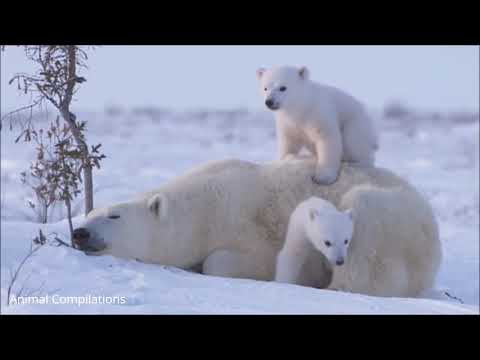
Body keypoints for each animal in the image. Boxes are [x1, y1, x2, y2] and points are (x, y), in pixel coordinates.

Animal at [72, 159, 442, 296]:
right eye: (91, 212)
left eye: (114, 216)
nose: (80, 233)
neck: (202, 209)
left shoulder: (245, 223)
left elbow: (228, 260)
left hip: (390, 219)